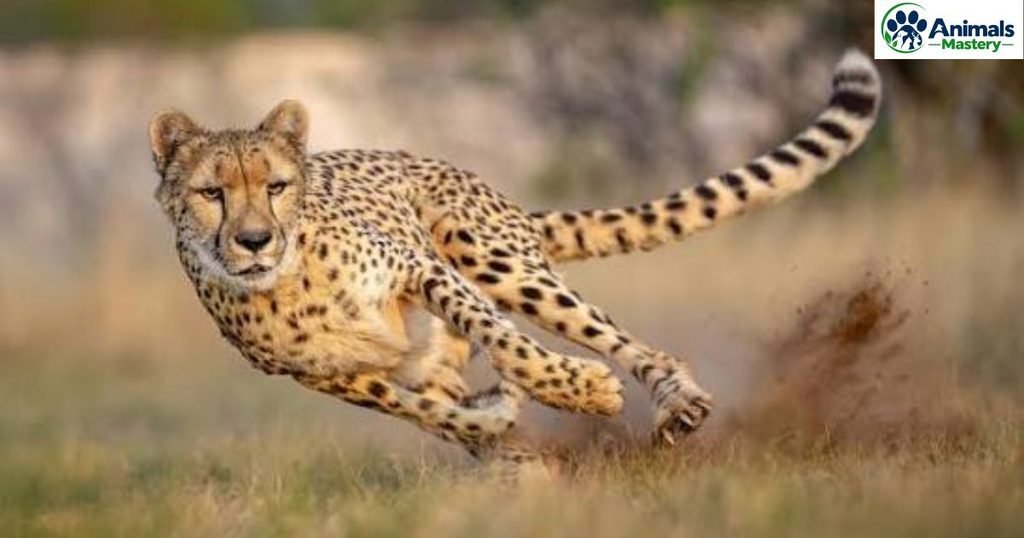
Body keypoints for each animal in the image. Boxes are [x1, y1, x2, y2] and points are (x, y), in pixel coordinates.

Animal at [149, 49, 881, 473]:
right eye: (212, 193)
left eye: (275, 186)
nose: (254, 241)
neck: (289, 281)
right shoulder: (332, 378)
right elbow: (432, 413)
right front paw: (498, 426)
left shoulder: (423, 270)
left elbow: (508, 342)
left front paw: (578, 390)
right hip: (437, 341)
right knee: (447, 392)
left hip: (491, 254)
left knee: (622, 341)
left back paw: (675, 400)